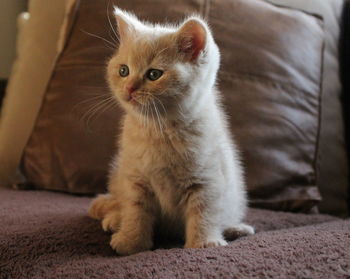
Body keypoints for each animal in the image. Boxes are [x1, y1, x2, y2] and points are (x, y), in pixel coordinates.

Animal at [89, 7, 254, 256]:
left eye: (154, 75)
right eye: (124, 70)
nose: (129, 88)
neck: (160, 130)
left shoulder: (207, 179)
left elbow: (203, 212)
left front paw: (204, 242)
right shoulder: (136, 178)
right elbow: (135, 210)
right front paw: (131, 241)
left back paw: (236, 228)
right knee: (117, 201)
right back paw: (115, 219)